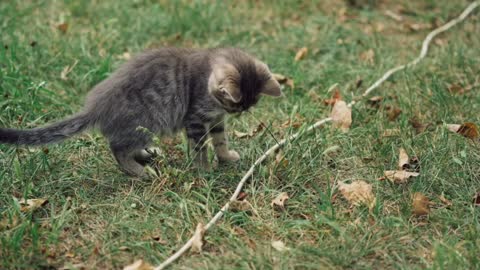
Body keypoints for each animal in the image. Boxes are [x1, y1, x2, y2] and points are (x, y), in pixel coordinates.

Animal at [0, 47, 284, 176]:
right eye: (234, 105)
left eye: (246, 106)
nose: (239, 113)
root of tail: (96, 107)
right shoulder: (195, 120)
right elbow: (200, 148)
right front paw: (204, 170)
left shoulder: (215, 120)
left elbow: (220, 140)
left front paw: (225, 157)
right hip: (148, 120)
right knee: (117, 148)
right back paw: (138, 171)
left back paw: (147, 155)